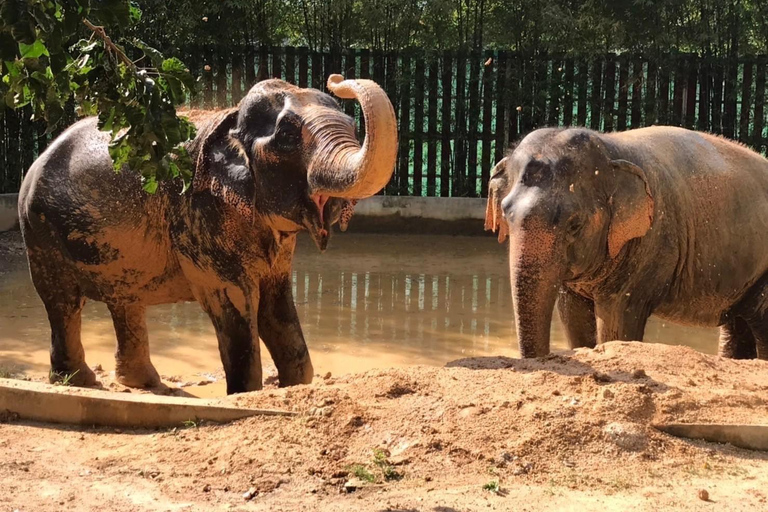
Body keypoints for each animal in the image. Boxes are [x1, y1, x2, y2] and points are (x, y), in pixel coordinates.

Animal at [18, 74, 398, 394]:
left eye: (354, 127)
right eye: (288, 137)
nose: (337, 79)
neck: (230, 119)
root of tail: (39, 158)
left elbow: (276, 304)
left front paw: (294, 387)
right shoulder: (198, 215)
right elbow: (235, 302)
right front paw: (245, 394)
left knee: (124, 299)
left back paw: (143, 384)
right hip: (39, 232)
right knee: (63, 300)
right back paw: (79, 382)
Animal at [485, 126, 768, 360]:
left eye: (575, 224)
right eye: (506, 214)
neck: (610, 146)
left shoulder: (650, 243)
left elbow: (617, 322)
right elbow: (572, 315)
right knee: (738, 325)